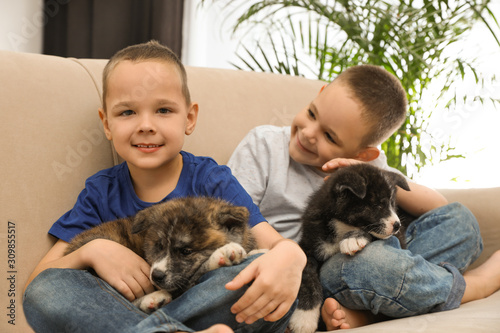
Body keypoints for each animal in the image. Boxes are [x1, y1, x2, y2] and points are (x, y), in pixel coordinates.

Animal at [290, 163, 410, 332]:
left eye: (392, 204)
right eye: (377, 205)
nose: (397, 225)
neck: (342, 226)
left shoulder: (398, 239)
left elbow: (373, 234)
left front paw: (353, 238)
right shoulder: (309, 244)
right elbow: (308, 279)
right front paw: (304, 318)